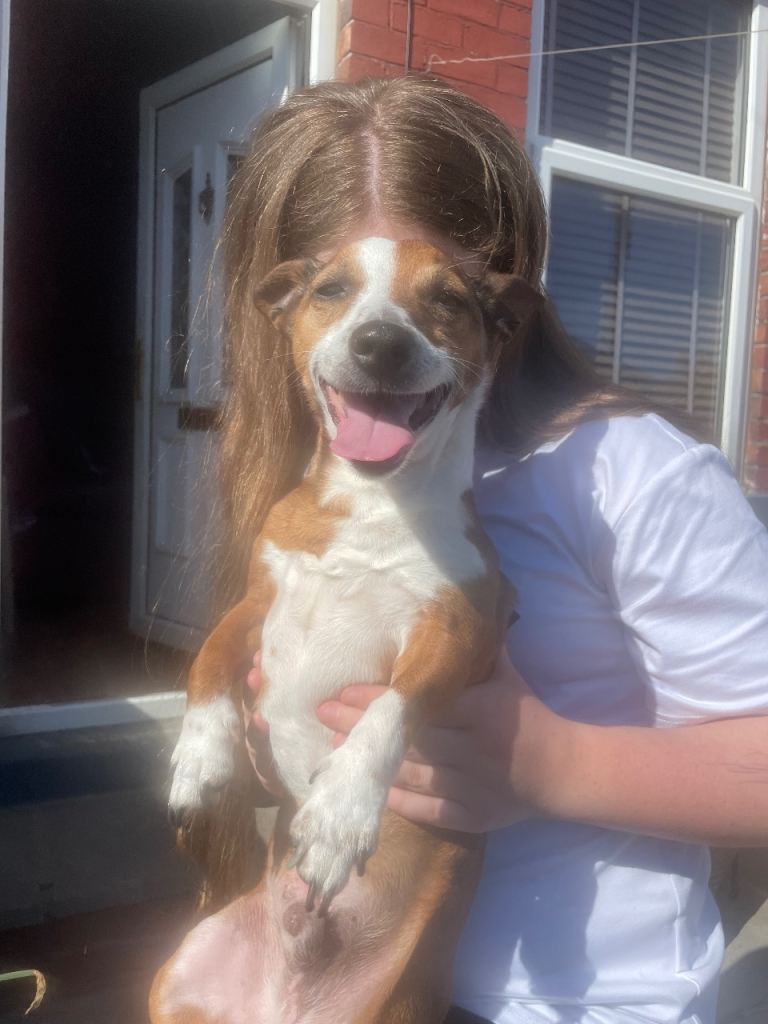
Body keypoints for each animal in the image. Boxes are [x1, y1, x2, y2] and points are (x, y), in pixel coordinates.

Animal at [150, 238, 536, 1023]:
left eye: (447, 299)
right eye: (331, 289)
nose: (381, 341)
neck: (373, 501)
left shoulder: (458, 633)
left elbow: (389, 710)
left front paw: (339, 812)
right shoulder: (257, 599)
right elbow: (208, 658)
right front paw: (200, 752)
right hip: (174, 980)